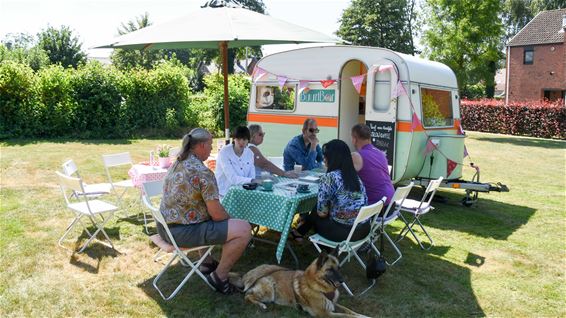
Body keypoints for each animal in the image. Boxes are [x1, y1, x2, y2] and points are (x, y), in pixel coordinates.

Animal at [241, 252, 370, 316]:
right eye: (330, 270)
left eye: (339, 268)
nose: (342, 281)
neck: (318, 287)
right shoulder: (325, 314)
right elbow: (348, 316)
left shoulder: (333, 304)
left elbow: (350, 311)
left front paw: (362, 315)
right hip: (269, 291)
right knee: (247, 296)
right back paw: (261, 305)